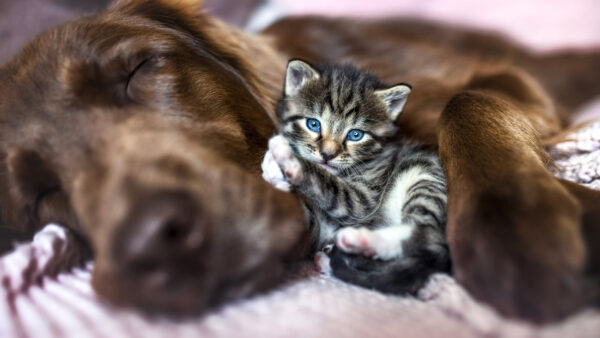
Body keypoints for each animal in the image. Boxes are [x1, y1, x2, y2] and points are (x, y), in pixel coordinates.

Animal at [262, 59, 450, 292]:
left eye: (355, 135)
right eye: (313, 124)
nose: (328, 154)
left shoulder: (364, 199)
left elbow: (330, 186)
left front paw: (289, 160)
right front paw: (277, 174)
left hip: (424, 173)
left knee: (428, 238)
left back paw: (362, 241)